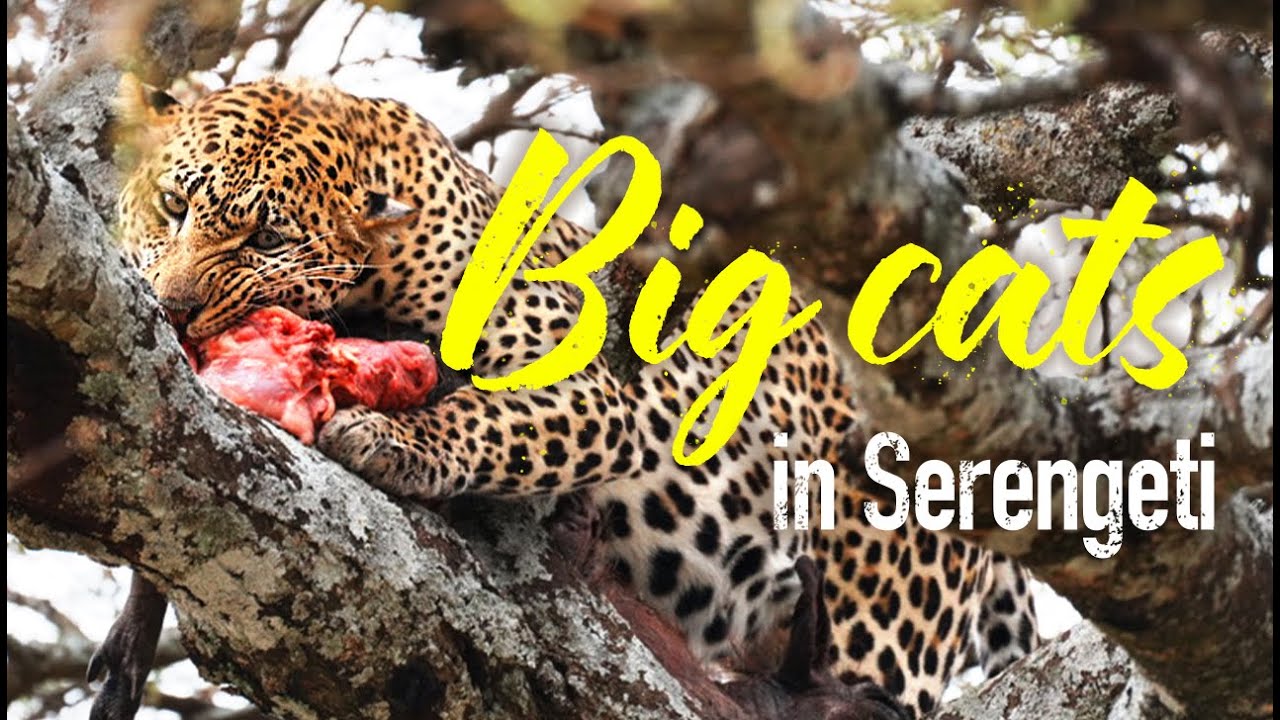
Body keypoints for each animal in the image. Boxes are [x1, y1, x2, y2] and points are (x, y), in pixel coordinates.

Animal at [114, 76, 1040, 718]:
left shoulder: (585, 386)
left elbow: (489, 417)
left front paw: (397, 441)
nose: (175, 305)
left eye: (267, 238)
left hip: (881, 616)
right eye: (174, 203)